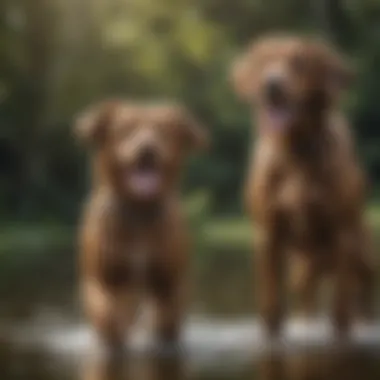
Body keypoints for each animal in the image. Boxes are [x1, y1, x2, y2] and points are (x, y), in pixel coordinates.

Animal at [74, 100, 208, 350]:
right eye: (126, 129)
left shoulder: (170, 280)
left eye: (163, 130)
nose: (147, 149)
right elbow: (106, 313)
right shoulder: (100, 278)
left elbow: (166, 314)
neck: (138, 211)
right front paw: (115, 333)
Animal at [230, 35, 376, 336]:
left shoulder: (343, 231)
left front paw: (341, 328)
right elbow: (271, 299)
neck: (295, 151)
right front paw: (271, 328)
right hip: (303, 270)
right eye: (264, 62)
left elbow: (341, 305)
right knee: (306, 297)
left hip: (363, 255)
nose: (272, 84)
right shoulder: (268, 232)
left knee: (363, 291)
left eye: (300, 62)